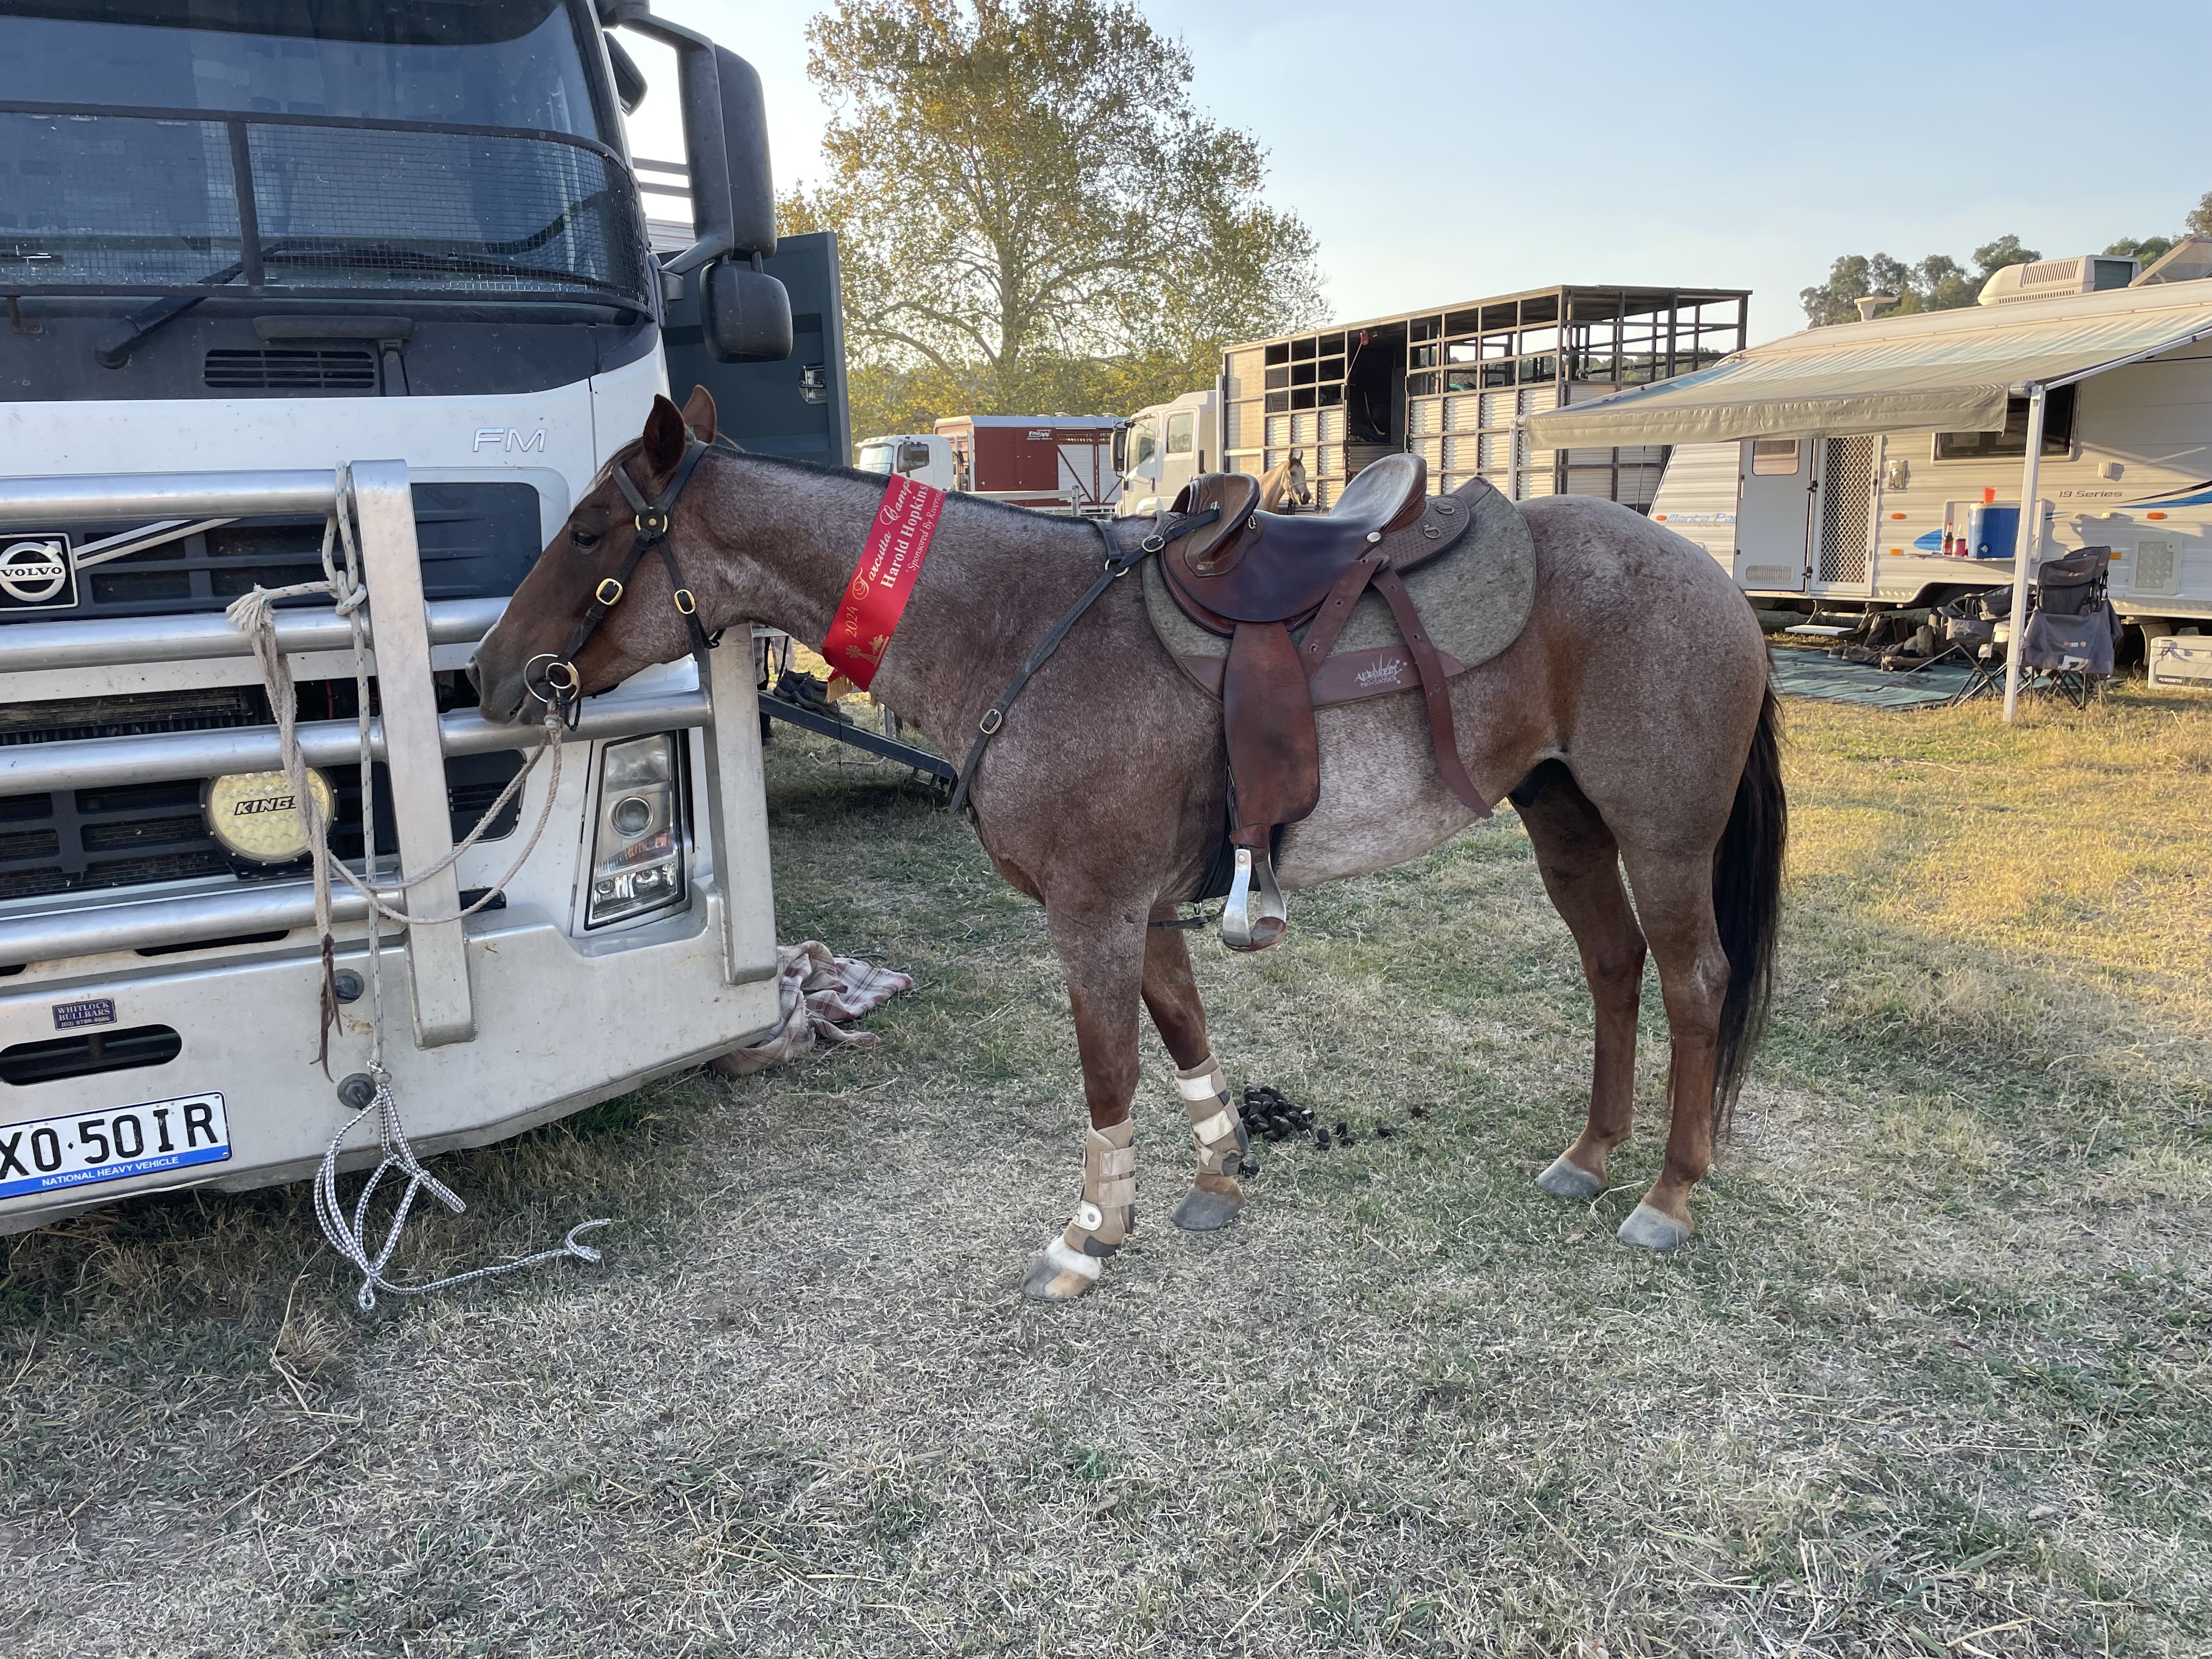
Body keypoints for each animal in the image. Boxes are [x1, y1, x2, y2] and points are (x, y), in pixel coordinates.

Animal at [471, 390, 1785, 1302]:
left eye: (589, 530)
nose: (485, 673)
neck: (1013, 625)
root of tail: (1712, 577)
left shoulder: (1091, 910)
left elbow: (1109, 1072)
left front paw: (1090, 1236)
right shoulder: (1143, 907)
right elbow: (1185, 1031)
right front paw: (1213, 1178)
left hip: (1663, 836)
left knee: (1694, 982)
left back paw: (1668, 1191)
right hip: (1563, 820)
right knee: (1613, 968)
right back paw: (1590, 1154)